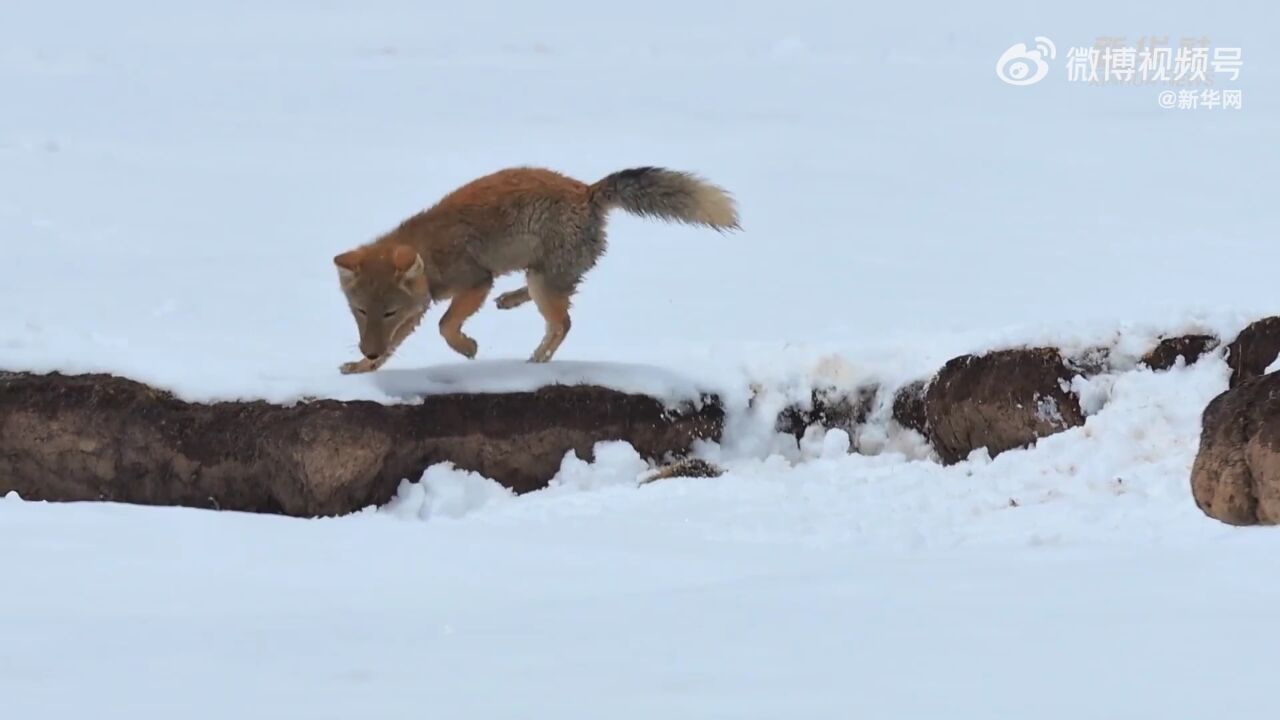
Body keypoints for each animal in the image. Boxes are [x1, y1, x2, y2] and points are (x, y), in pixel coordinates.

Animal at [332, 165, 742, 371]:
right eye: (361, 311)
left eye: (387, 312)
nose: (367, 351)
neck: (430, 252)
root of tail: (588, 191)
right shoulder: (418, 309)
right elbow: (396, 346)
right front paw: (362, 368)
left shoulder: (476, 282)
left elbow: (446, 326)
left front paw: (468, 349)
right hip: (540, 276)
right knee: (552, 304)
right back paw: (510, 302)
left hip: (543, 281)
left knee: (562, 324)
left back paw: (534, 361)